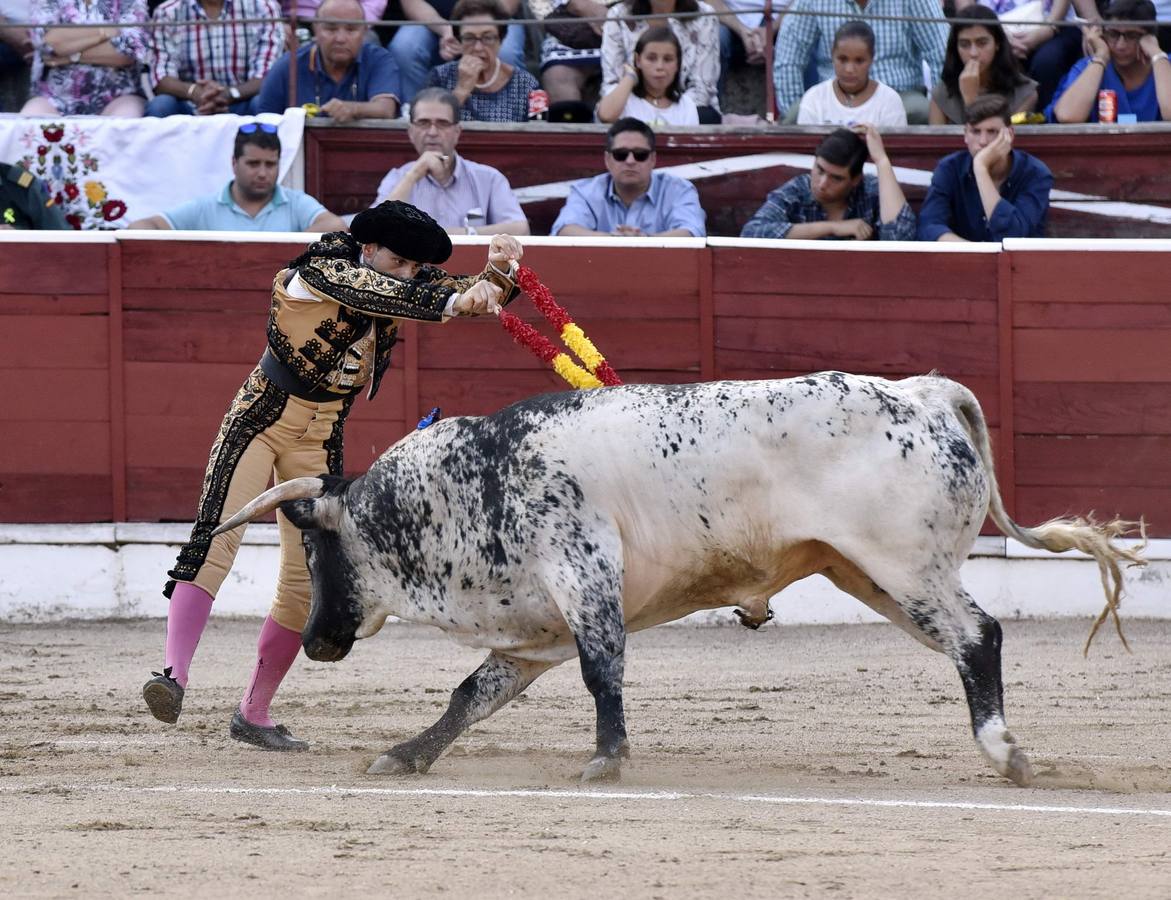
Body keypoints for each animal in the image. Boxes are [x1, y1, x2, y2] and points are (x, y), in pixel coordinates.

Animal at [213, 369, 1142, 777]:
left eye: (317, 552)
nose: (317, 642)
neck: (469, 481)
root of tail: (922, 393)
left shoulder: (583, 573)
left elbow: (603, 672)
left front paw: (606, 759)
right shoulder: (535, 627)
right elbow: (472, 694)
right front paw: (407, 754)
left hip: (905, 567)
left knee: (978, 635)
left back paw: (1003, 750)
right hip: (871, 576)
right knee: (962, 640)